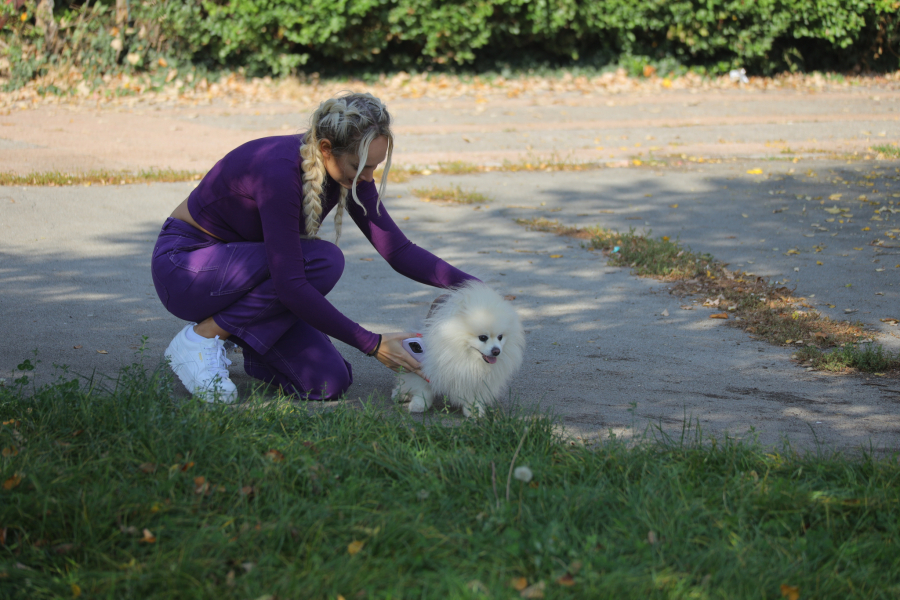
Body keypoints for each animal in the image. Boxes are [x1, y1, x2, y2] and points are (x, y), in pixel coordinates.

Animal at [394, 282, 528, 418]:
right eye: (483, 337)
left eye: (500, 337)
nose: (496, 351)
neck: (465, 356)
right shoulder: (425, 367)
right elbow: (423, 390)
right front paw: (418, 405)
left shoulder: (473, 381)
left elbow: (472, 397)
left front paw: (474, 411)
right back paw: (400, 394)